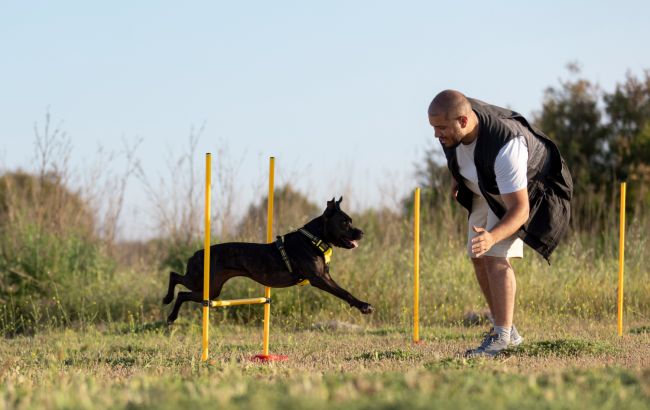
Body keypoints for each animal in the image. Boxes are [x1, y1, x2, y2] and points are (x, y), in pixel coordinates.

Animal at [162, 196, 374, 324]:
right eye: (344, 222)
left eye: (351, 221)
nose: (362, 232)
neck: (314, 238)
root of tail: (197, 253)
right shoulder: (319, 279)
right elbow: (344, 292)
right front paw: (364, 306)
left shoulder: (325, 276)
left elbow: (344, 291)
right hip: (204, 283)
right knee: (175, 279)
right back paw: (168, 304)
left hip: (211, 289)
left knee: (183, 292)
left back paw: (171, 313)